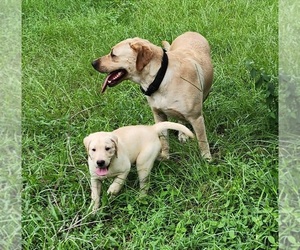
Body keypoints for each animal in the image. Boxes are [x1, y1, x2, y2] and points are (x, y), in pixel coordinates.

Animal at [92, 31, 212, 160]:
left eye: (113, 54)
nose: (93, 63)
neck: (161, 77)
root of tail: (190, 32)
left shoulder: (196, 118)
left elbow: (202, 141)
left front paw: (206, 158)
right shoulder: (159, 115)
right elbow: (163, 140)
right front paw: (165, 156)